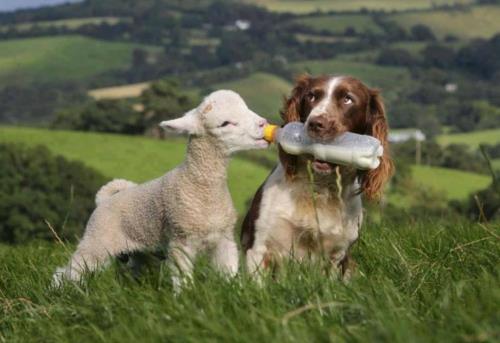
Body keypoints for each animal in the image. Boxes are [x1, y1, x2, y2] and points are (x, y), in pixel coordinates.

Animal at [52, 90, 268, 288]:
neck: (201, 187)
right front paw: (185, 298)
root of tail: (105, 199)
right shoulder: (181, 240)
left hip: (139, 252)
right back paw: (60, 290)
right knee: (69, 271)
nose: (263, 123)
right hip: (97, 240)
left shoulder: (224, 239)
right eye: (225, 123)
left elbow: (229, 273)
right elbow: (183, 279)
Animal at [242, 74, 394, 280]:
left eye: (348, 99)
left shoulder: (337, 256)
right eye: (311, 96)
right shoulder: (259, 247)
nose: (316, 123)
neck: (319, 187)